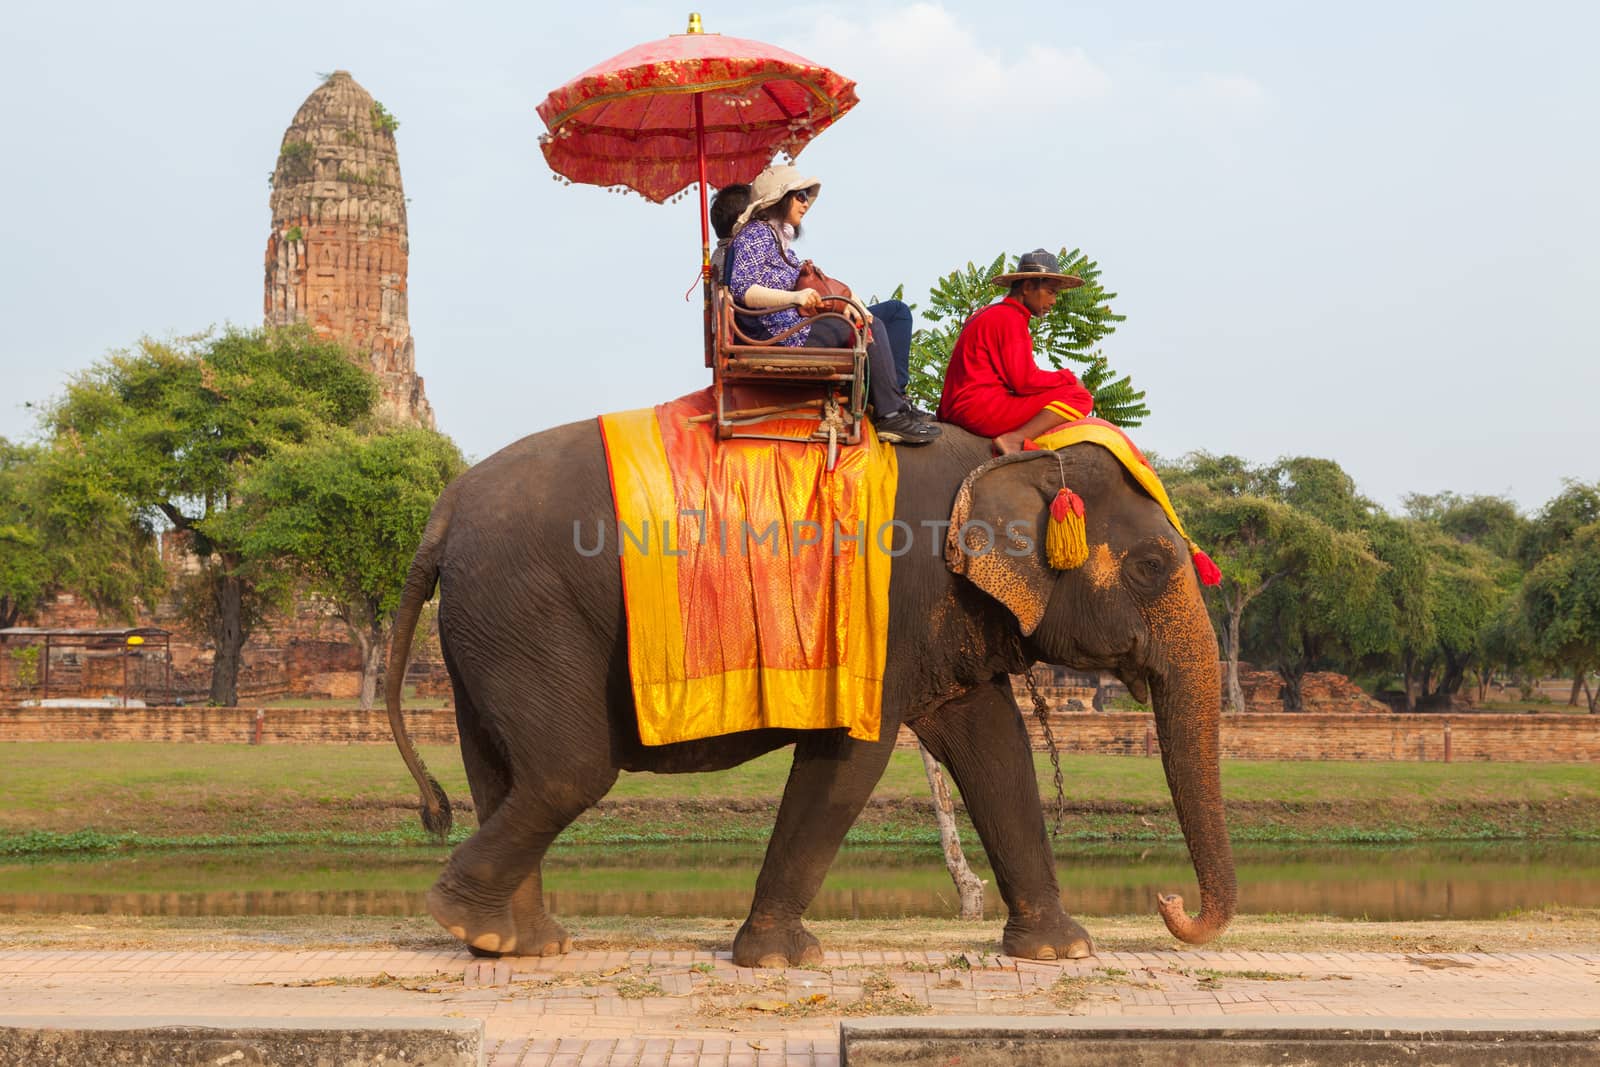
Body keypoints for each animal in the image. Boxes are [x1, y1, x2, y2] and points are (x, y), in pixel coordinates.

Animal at [387, 419, 1235, 966]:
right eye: (1154, 565)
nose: (1168, 904)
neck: (1004, 457)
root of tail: (442, 511)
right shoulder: (886, 607)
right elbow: (852, 755)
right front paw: (781, 959)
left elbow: (993, 744)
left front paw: (1064, 950)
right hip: (527, 614)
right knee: (570, 770)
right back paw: (471, 920)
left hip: (484, 630)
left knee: (504, 771)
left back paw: (512, 942)